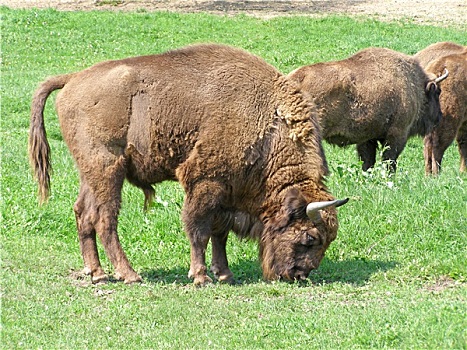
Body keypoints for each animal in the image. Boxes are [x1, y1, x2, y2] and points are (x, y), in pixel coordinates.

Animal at [29, 43, 350, 284]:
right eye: (310, 238)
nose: (299, 274)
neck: (269, 124)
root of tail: (73, 78)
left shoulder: (228, 193)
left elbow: (219, 233)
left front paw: (225, 274)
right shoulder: (204, 182)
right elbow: (198, 230)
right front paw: (200, 277)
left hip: (91, 173)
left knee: (83, 213)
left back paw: (96, 273)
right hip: (108, 169)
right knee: (105, 219)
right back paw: (129, 274)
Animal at [288, 46, 448, 172]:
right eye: (437, 92)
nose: (440, 117)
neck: (415, 85)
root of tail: (296, 78)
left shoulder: (368, 138)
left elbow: (368, 161)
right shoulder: (397, 134)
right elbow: (389, 160)